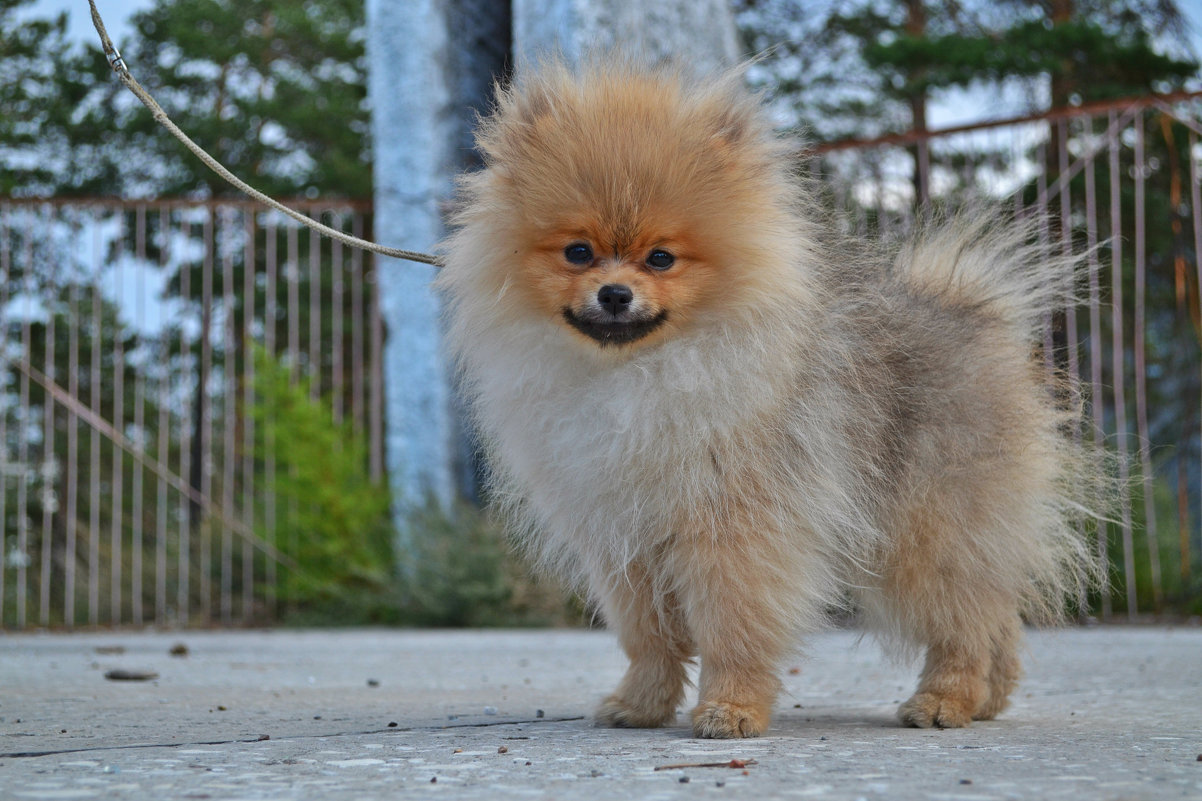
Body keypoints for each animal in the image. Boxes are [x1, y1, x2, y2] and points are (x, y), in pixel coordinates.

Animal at [439, 59, 1101, 736]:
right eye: (578, 252)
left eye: (661, 258)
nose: (616, 294)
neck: (638, 372)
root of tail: (978, 317)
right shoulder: (622, 534)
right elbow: (648, 634)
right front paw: (642, 703)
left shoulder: (734, 525)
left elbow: (734, 625)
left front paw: (730, 709)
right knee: (995, 614)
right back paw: (991, 698)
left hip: (928, 525)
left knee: (965, 613)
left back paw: (946, 699)